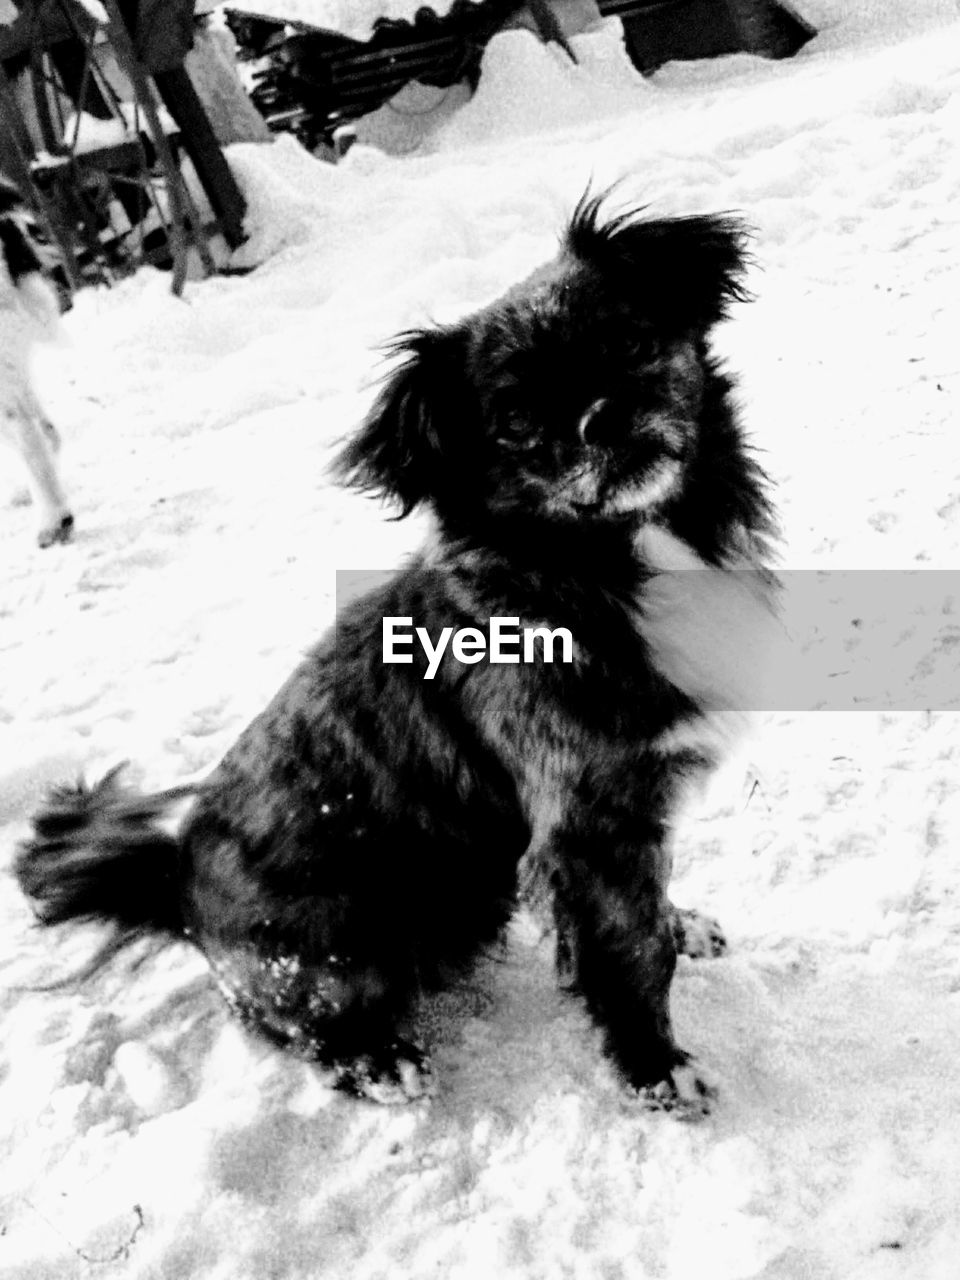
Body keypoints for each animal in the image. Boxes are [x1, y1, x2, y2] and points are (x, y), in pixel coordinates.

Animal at [15, 194, 778, 1116]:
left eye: (630, 341)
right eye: (514, 422)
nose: (598, 417)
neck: (602, 564)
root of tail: (177, 885)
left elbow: (646, 909)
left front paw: (677, 926)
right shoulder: (590, 822)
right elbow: (628, 952)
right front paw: (655, 1068)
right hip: (345, 948)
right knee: (297, 1028)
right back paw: (379, 1062)